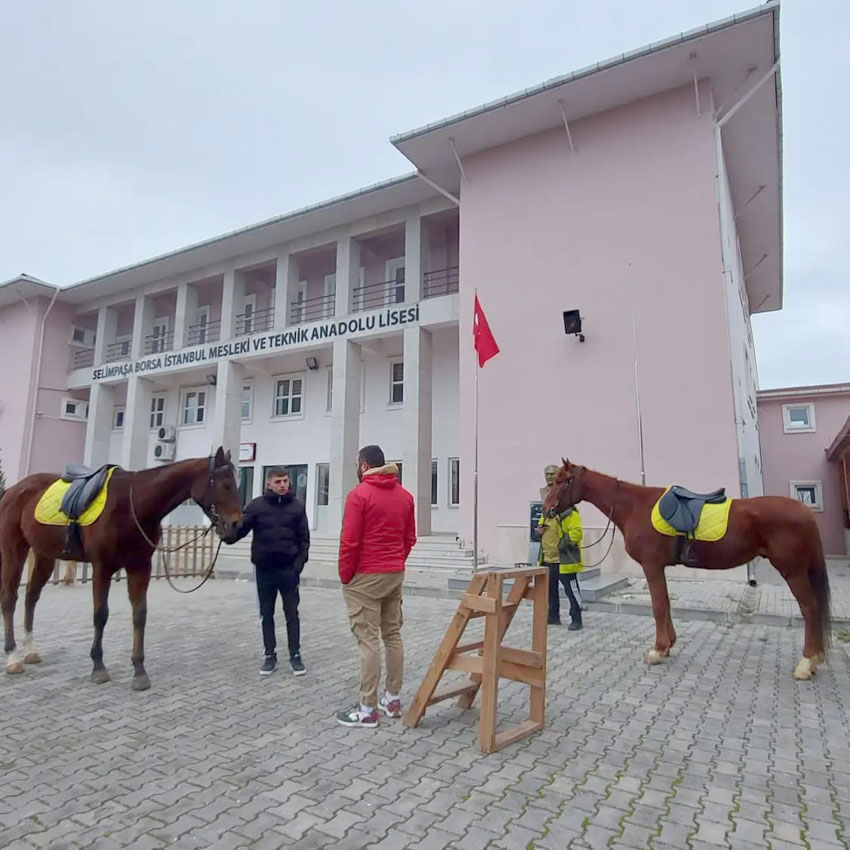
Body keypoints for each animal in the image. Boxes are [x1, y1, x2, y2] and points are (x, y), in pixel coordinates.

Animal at [0, 448, 242, 684]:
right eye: (226, 485)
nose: (236, 524)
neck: (132, 505)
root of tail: (12, 491)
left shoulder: (140, 567)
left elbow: (140, 614)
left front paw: (139, 670)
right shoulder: (102, 567)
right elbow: (100, 615)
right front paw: (98, 666)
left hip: (44, 555)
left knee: (31, 597)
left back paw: (30, 651)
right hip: (14, 550)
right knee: (10, 598)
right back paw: (13, 657)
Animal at [544, 460, 828, 680]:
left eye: (561, 481)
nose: (546, 509)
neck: (635, 506)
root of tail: (805, 510)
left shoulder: (651, 565)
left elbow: (658, 605)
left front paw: (657, 650)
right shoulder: (660, 567)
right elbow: (666, 603)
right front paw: (668, 645)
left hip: (793, 572)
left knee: (810, 608)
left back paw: (806, 664)